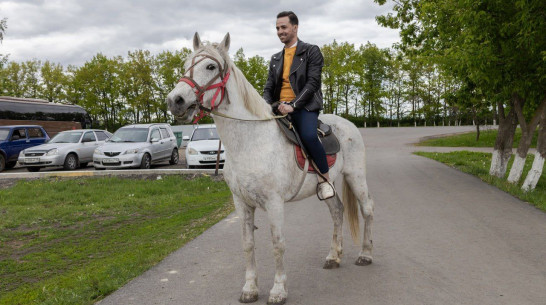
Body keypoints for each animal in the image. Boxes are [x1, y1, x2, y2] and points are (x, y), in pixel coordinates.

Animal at [164, 33, 372, 304]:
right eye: (186, 64)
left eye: (210, 67)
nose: (175, 100)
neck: (250, 142)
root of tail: (348, 124)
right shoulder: (241, 203)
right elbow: (247, 244)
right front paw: (250, 288)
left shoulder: (274, 203)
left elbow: (277, 244)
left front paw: (278, 290)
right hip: (327, 186)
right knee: (337, 212)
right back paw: (333, 256)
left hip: (356, 177)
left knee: (367, 210)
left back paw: (365, 255)